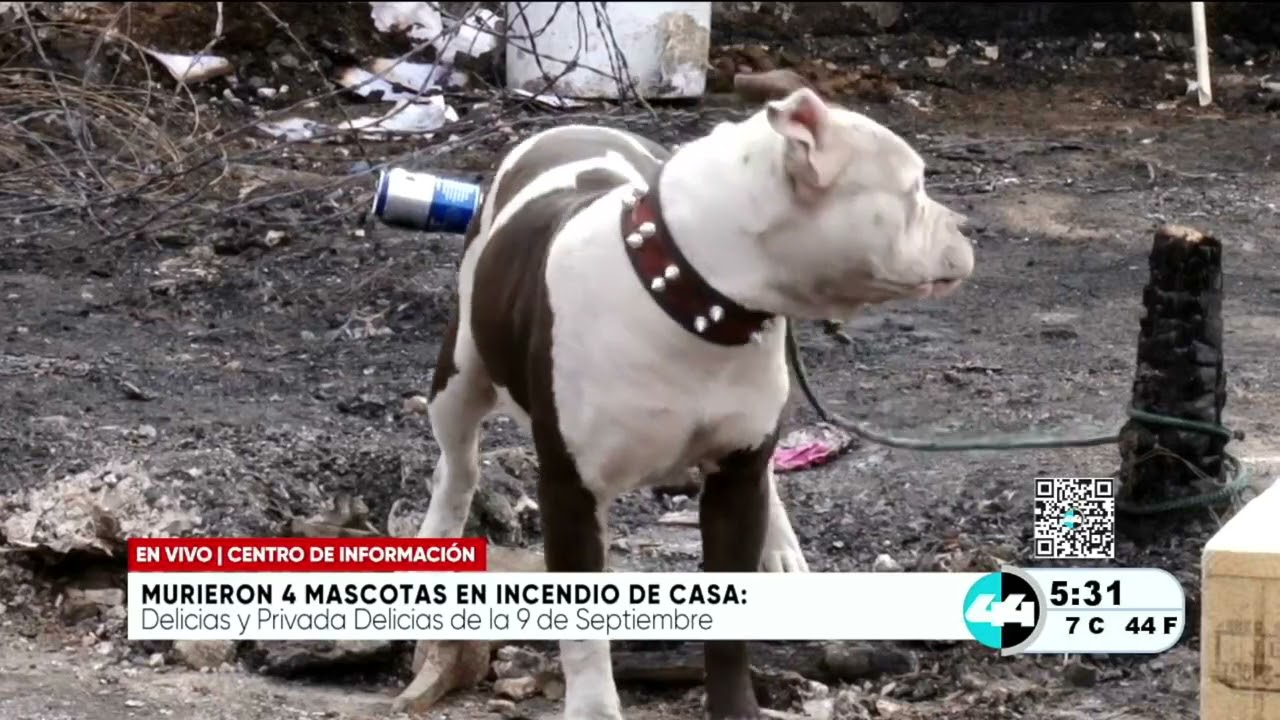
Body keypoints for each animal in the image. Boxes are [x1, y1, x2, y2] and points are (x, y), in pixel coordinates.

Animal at [402, 80, 975, 719]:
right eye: (914, 187)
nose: (965, 224)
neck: (692, 299)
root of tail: (569, 125)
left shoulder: (736, 475)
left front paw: (736, 708)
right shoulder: (570, 492)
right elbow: (583, 633)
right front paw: (594, 709)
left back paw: (780, 548)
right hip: (460, 376)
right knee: (456, 470)